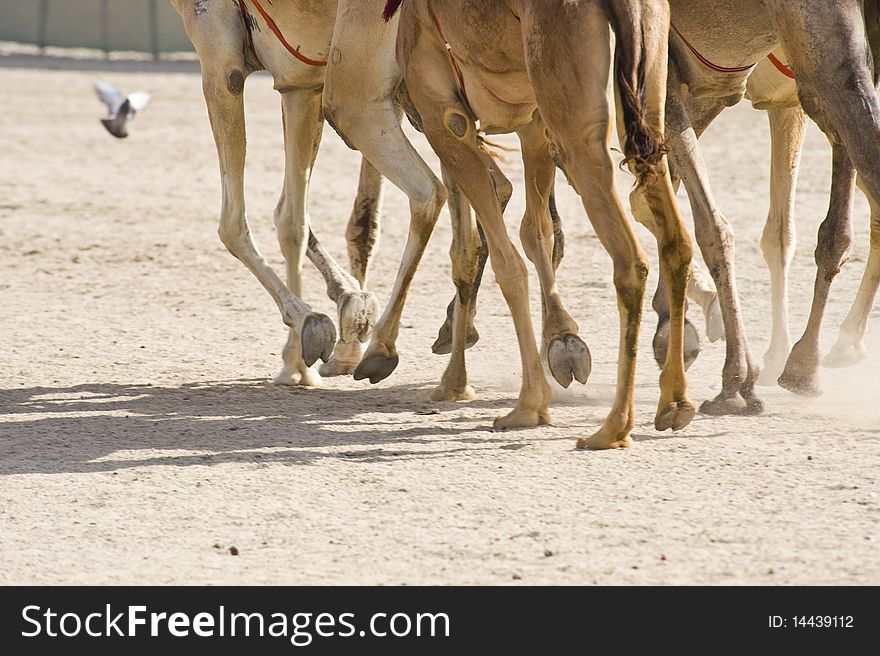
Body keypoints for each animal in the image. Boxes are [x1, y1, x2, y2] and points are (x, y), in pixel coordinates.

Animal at [388, 0, 696, 448]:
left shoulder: (444, 118)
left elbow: (507, 263)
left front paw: (529, 403)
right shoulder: (532, 123)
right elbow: (535, 235)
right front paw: (562, 346)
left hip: (577, 124)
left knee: (630, 261)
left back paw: (612, 427)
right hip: (648, 107)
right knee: (677, 240)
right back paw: (674, 403)